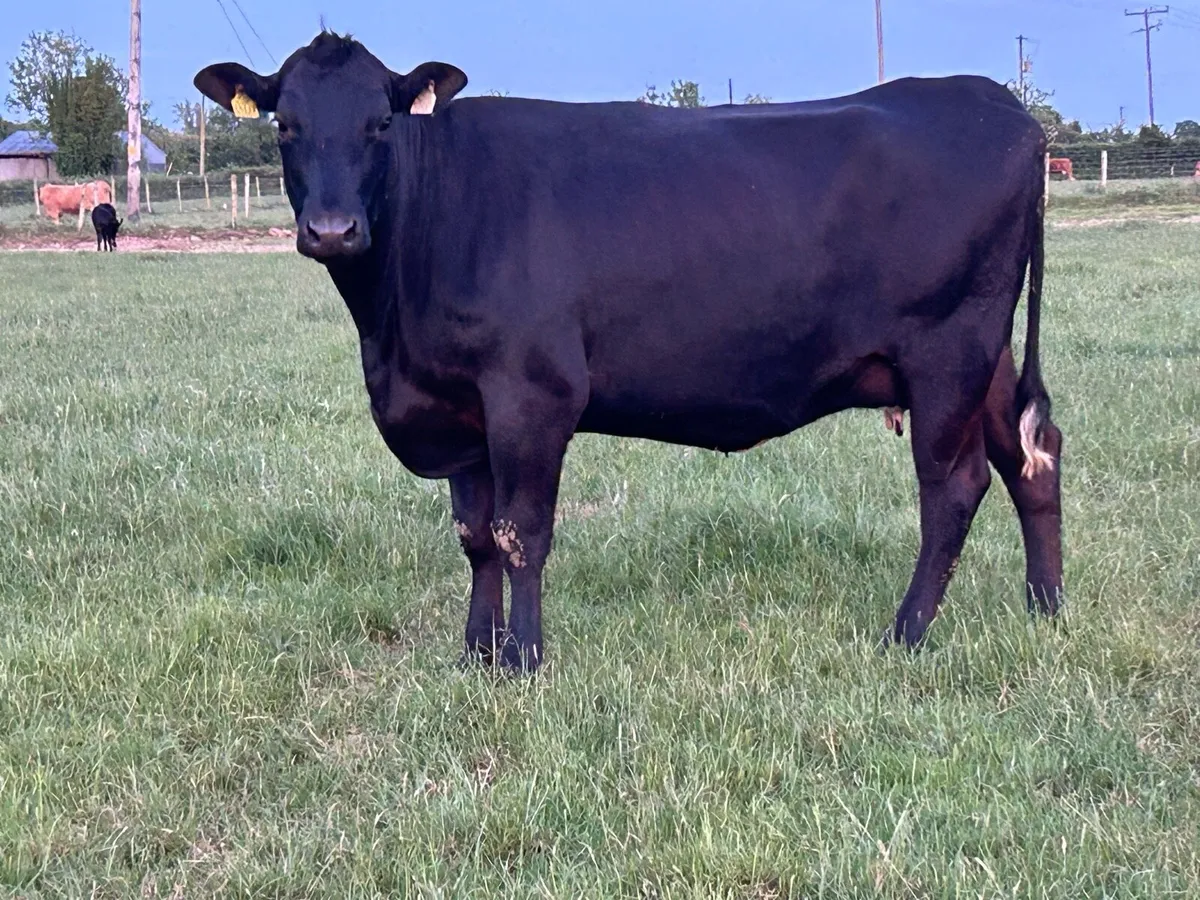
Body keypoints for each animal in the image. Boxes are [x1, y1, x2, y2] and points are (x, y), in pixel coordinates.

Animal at [194, 32, 1065, 673]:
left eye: (381, 123)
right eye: (284, 125)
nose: (332, 230)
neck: (392, 331)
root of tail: (992, 101)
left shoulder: (533, 394)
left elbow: (521, 531)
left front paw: (524, 660)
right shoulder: (459, 408)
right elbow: (474, 538)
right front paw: (474, 654)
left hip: (949, 352)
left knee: (953, 488)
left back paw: (905, 635)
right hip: (987, 358)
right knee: (1034, 457)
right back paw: (1045, 609)